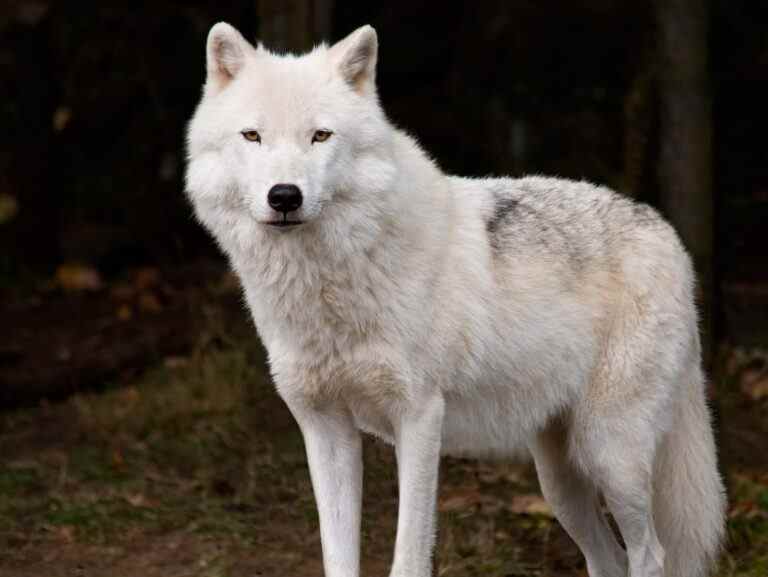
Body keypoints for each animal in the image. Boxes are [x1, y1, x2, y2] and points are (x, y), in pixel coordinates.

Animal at [186, 21, 728, 576]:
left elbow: (407, 556)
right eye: (252, 136)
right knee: (609, 558)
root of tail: (666, 232)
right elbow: (337, 558)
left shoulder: (421, 418)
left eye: (320, 136)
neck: (331, 285)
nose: (284, 196)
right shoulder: (324, 428)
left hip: (610, 454)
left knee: (651, 554)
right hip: (559, 482)